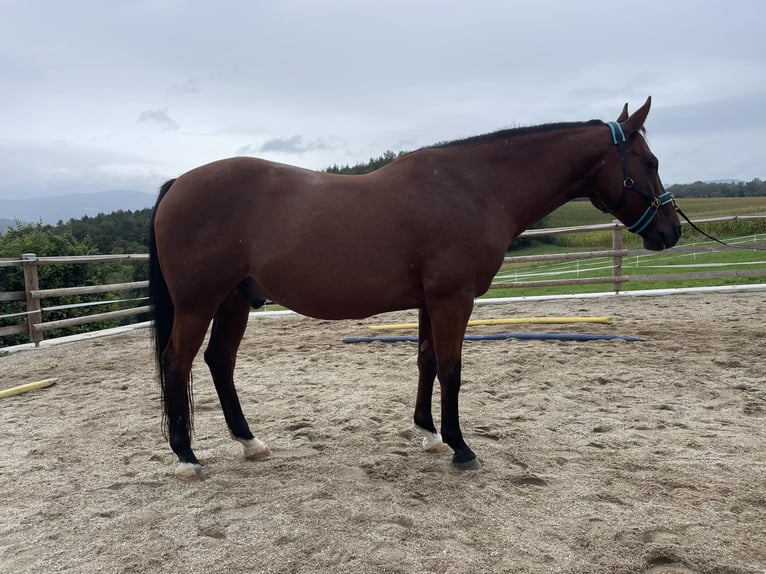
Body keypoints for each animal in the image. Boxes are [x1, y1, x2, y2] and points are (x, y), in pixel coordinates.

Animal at [149, 97, 681, 481]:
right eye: (651, 162)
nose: (671, 231)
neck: (473, 188)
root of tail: (178, 183)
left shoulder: (430, 302)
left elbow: (426, 360)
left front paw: (429, 434)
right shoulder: (453, 299)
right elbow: (451, 369)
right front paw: (461, 447)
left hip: (233, 301)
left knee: (219, 361)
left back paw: (249, 442)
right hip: (199, 303)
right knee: (177, 363)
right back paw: (186, 458)